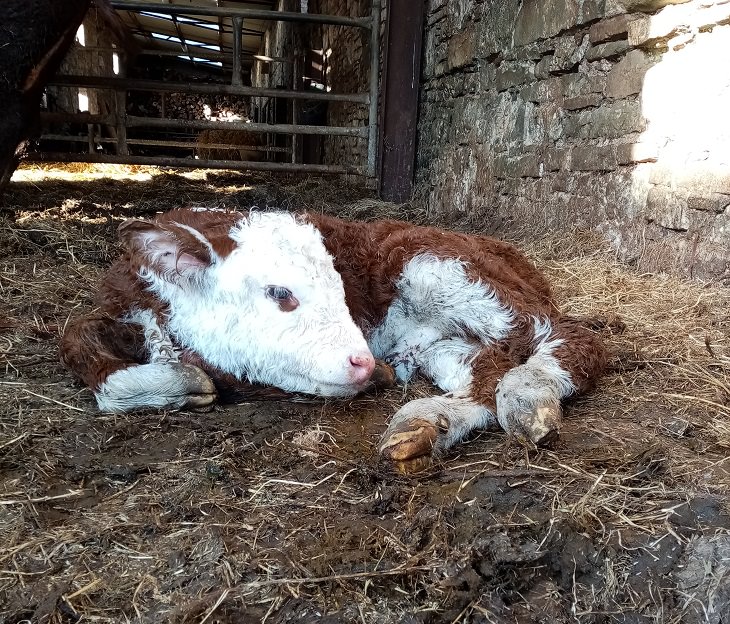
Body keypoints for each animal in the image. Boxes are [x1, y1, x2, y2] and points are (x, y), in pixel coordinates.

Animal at [59, 211, 604, 464]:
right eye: (280, 293)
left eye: (341, 289)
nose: (363, 362)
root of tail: (518, 258)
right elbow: (74, 336)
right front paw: (178, 381)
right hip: (432, 337)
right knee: (487, 369)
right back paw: (425, 424)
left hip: (444, 269)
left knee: (572, 336)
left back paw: (527, 396)